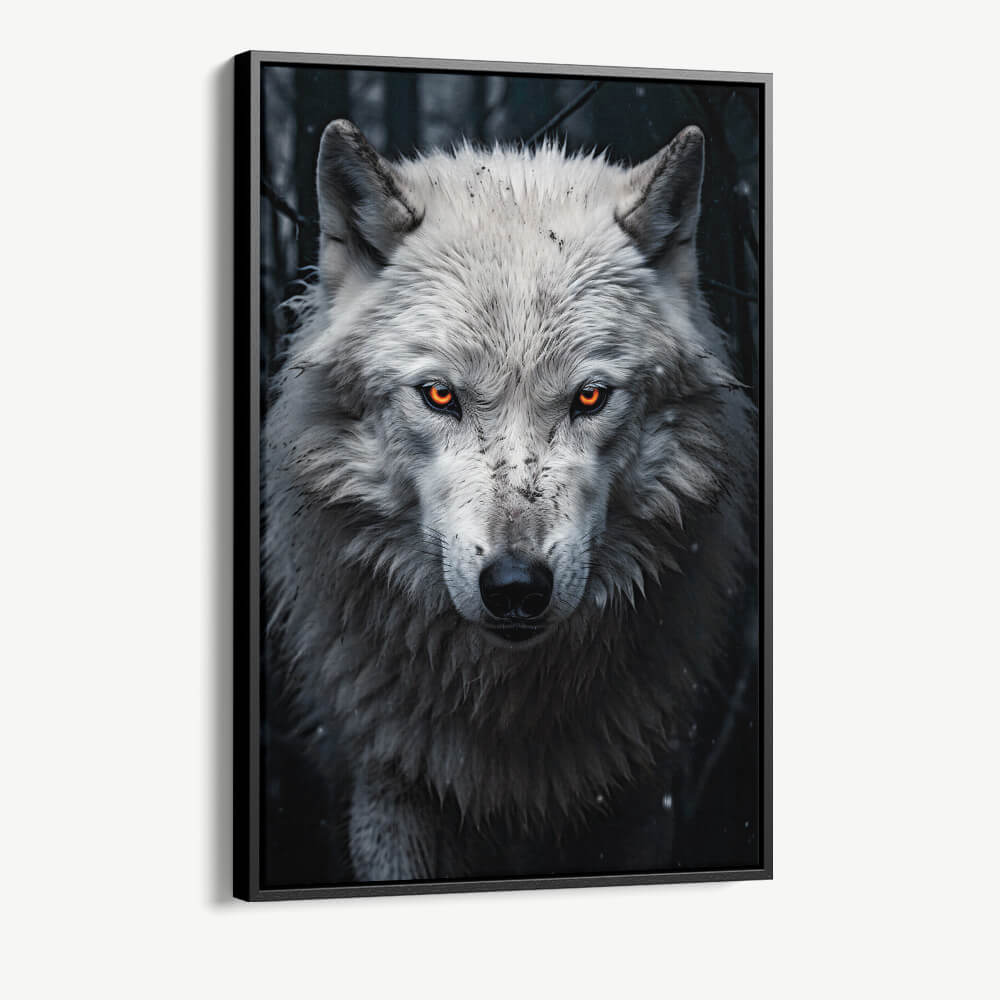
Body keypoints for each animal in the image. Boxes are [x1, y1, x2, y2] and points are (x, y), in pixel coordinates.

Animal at [263, 118, 757, 881]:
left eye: (591, 397)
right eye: (440, 395)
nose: (516, 587)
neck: (509, 714)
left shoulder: (640, 801)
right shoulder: (391, 789)